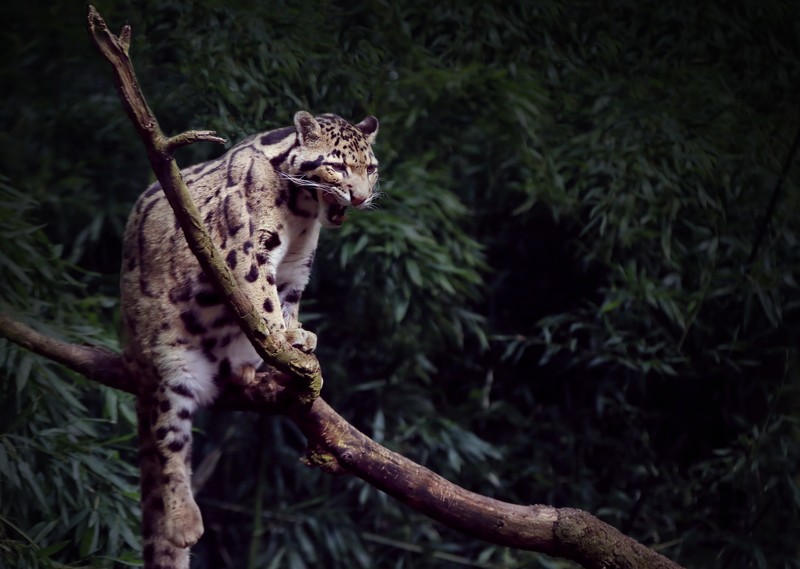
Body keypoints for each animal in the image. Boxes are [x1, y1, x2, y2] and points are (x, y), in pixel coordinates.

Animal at [120, 111, 379, 568]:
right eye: (338, 165)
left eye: (371, 167)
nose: (361, 198)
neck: (302, 212)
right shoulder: (247, 251)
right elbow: (263, 298)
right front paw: (283, 337)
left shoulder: (297, 266)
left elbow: (287, 300)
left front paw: (296, 335)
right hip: (171, 366)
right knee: (170, 441)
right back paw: (184, 521)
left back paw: (244, 370)